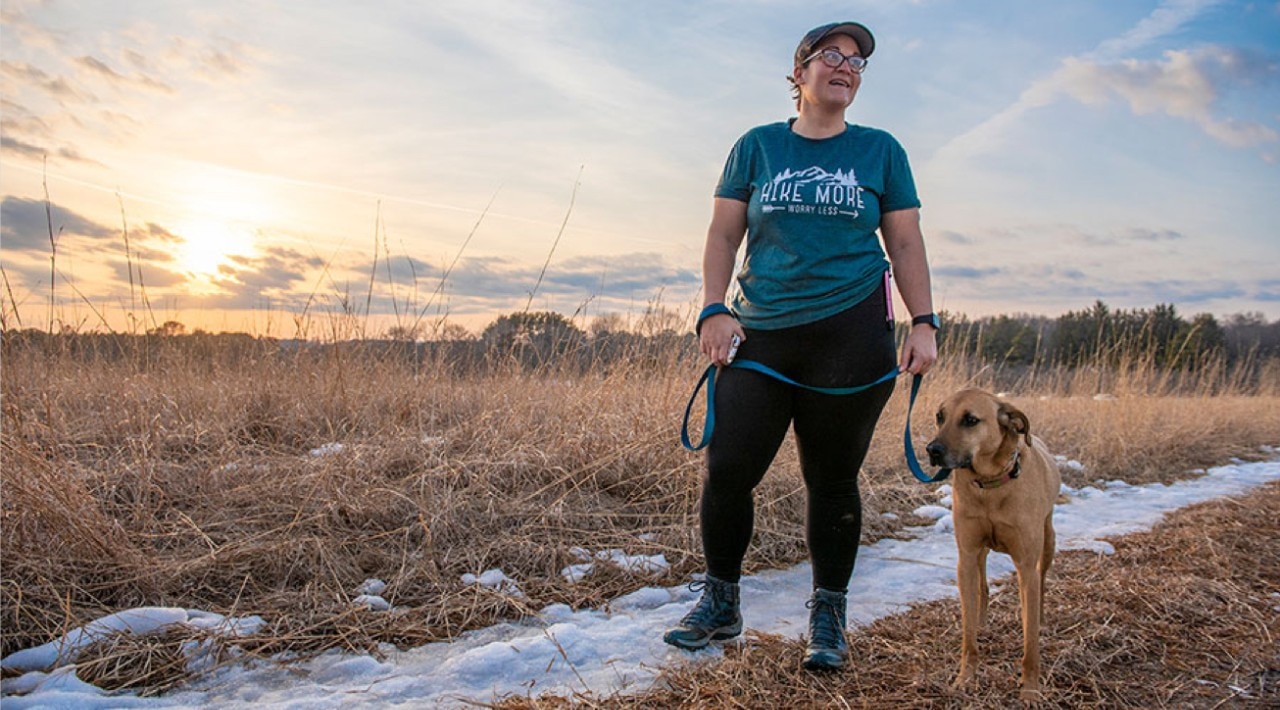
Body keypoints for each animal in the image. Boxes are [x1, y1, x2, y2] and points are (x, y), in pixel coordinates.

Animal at [926, 391, 1064, 701]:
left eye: (970, 420)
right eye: (940, 416)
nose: (932, 450)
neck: (989, 485)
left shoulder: (1026, 565)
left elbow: (1030, 643)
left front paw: (1030, 691)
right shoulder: (966, 556)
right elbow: (968, 637)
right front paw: (965, 678)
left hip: (1047, 542)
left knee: (1041, 584)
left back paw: (1040, 616)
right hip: (979, 554)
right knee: (983, 586)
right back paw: (981, 621)